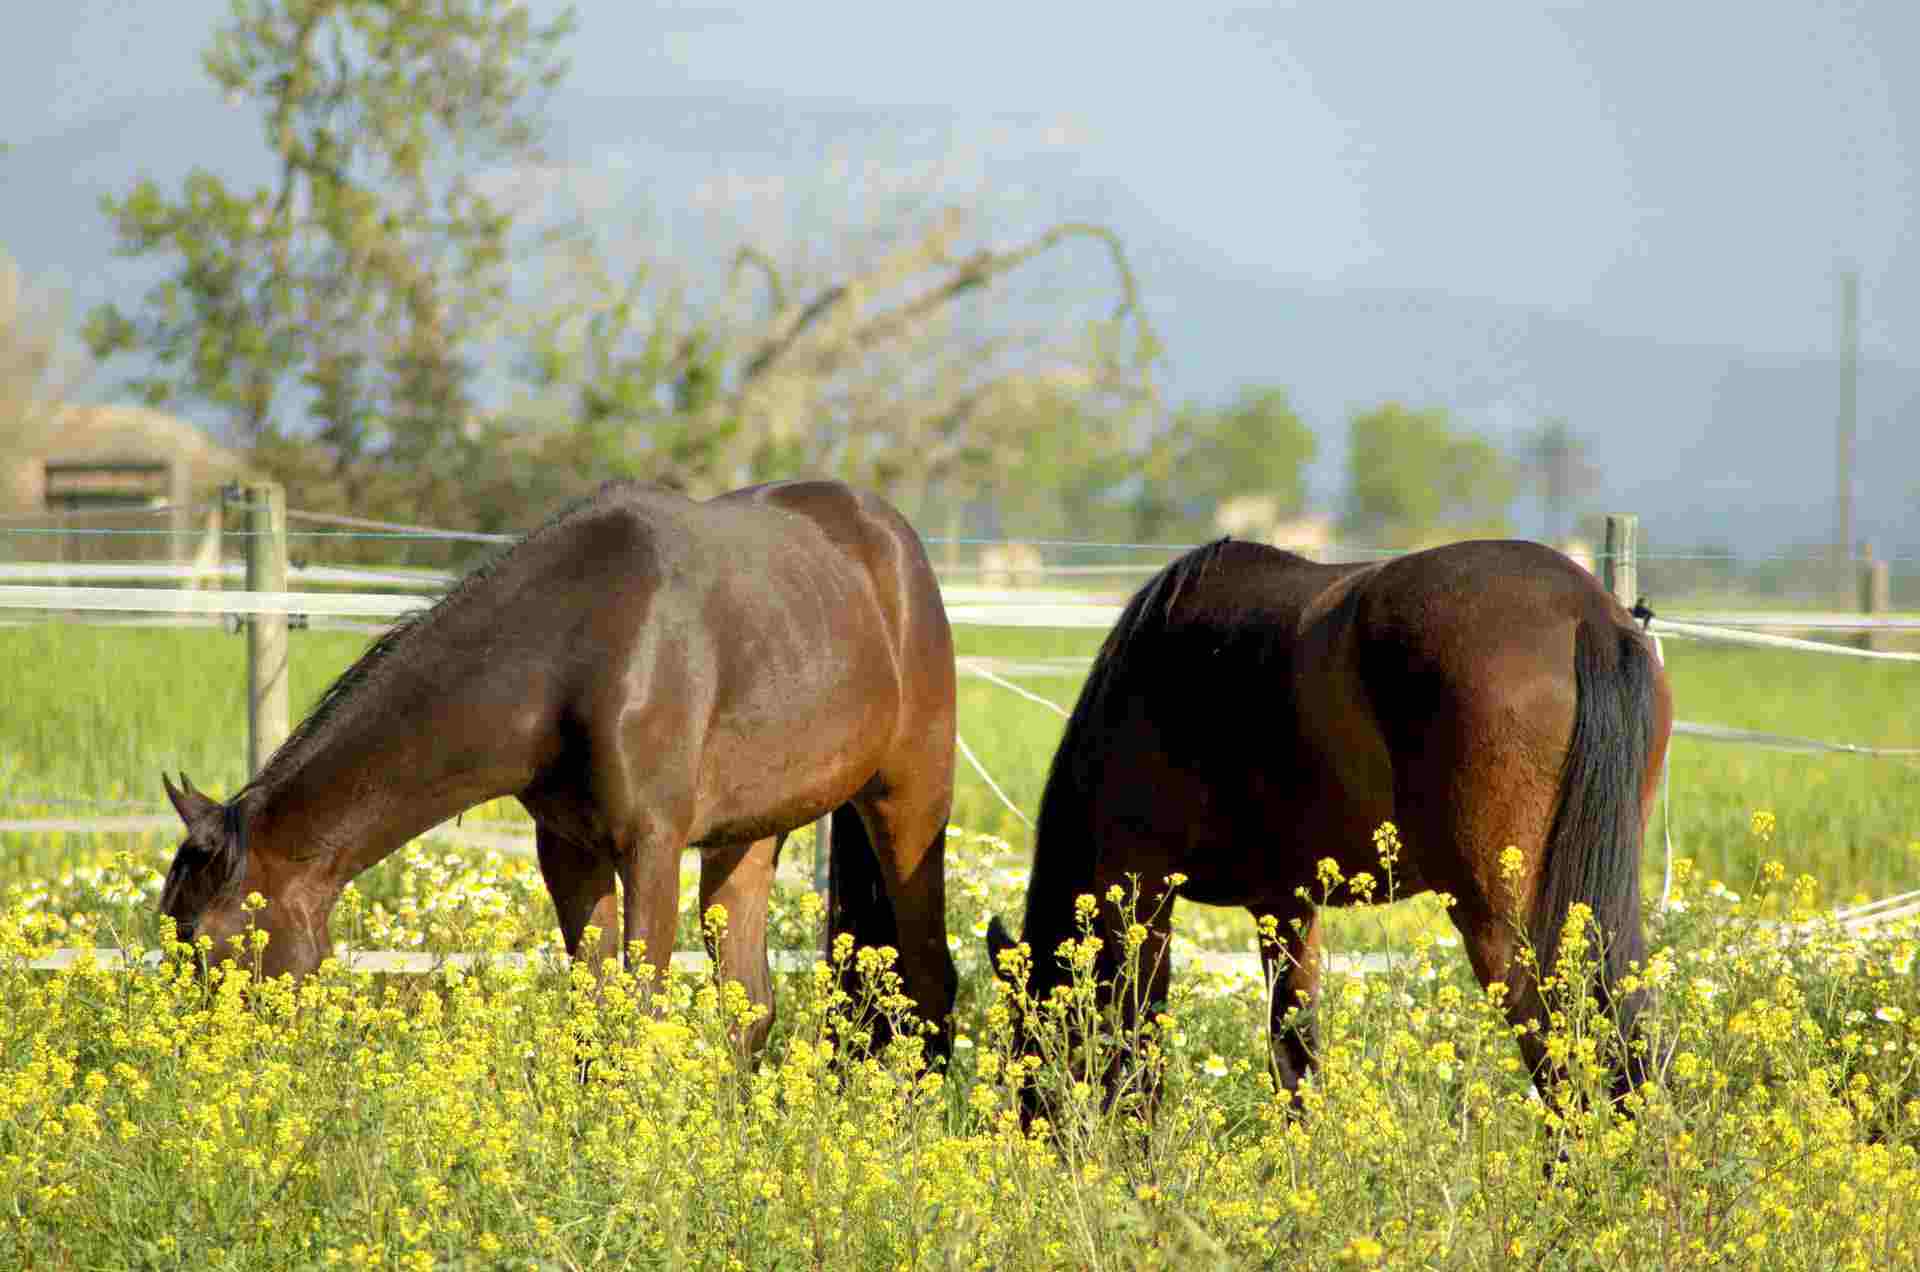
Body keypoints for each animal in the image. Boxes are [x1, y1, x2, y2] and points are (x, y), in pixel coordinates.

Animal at [157, 478, 960, 1052]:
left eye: (206, 943)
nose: (192, 1061)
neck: (574, 650)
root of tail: (892, 540)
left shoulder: (651, 847)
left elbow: (640, 1011)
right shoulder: (571, 851)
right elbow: (594, 1009)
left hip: (909, 802)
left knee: (930, 980)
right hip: (748, 837)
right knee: (751, 1006)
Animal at [990, 538, 1666, 1106]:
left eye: (1026, 1054)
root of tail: (1584, 613)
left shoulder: (1143, 896)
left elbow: (1142, 1041)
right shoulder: (1285, 906)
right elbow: (1293, 1052)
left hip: (1498, 921)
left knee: (1555, 1045)